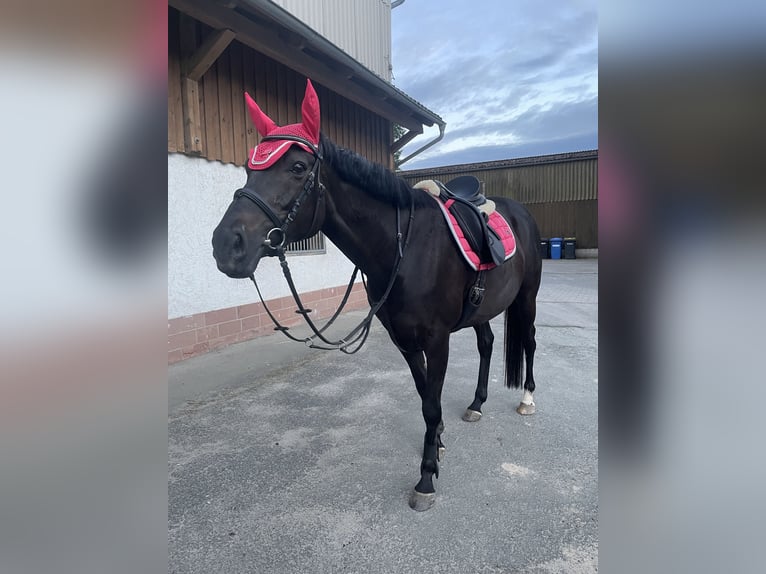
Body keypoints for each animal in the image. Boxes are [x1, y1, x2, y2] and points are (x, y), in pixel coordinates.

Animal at [213, 80, 544, 512]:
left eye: (298, 167)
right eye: (249, 169)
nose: (226, 245)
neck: (405, 248)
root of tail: (520, 212)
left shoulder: (436, 339)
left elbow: (432, 402)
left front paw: (426, 478)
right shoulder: (403, 339)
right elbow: (425, 398)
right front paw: (437, 443)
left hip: (528, 297)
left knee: (530, 343)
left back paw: (527, 399)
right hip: (482, 308)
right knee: (487, 343)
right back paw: (476, 404)